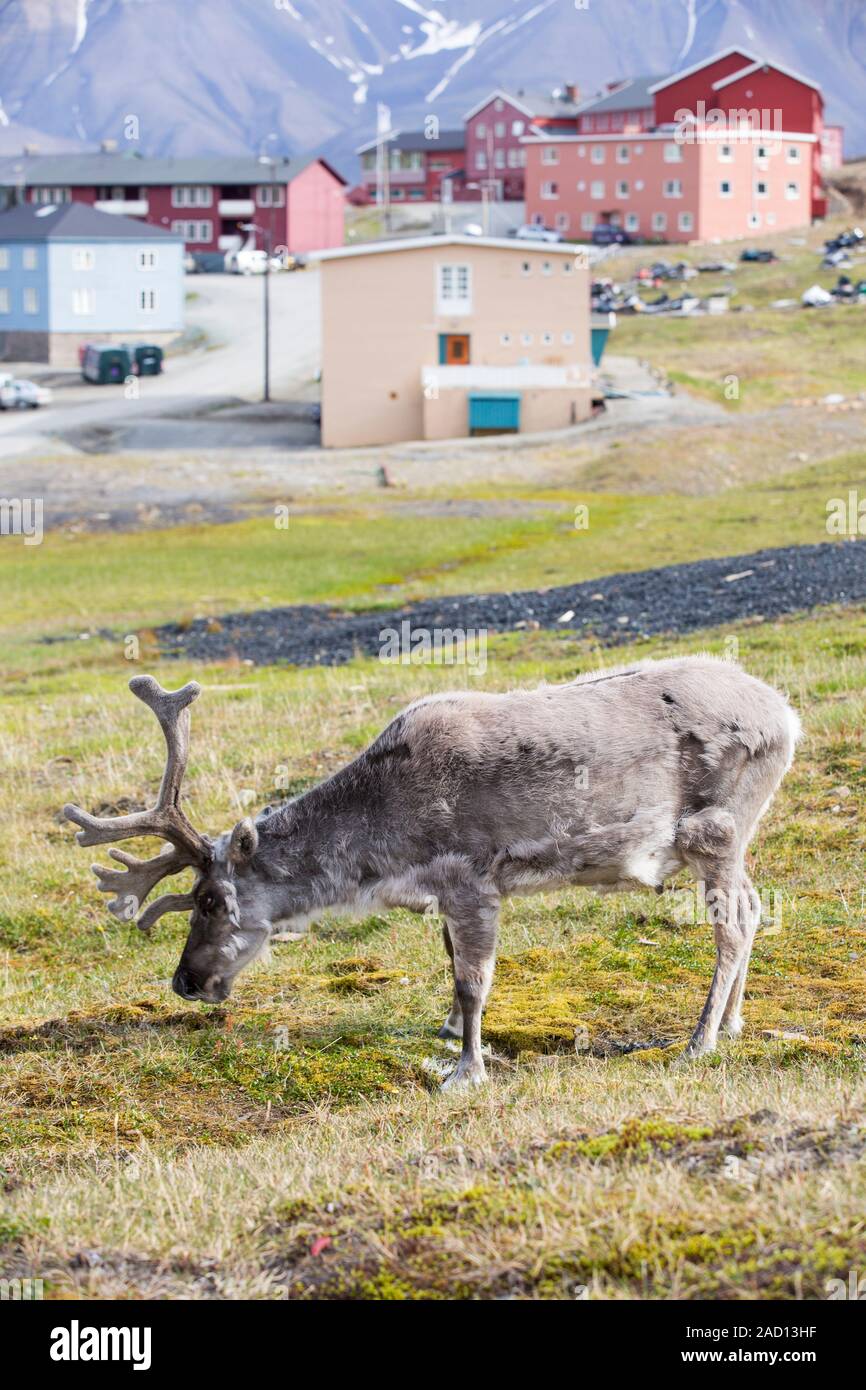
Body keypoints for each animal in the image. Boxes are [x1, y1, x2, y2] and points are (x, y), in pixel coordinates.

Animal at [64, 660, 800, 1089]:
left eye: (213, 899)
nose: (185, 981)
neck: (386, 850)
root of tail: (788, 716)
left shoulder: (472, 878)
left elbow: (475, 980)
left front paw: (465, 1070)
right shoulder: (446, 894)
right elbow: (450, 964)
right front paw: (447, 1032)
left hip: (715, 828)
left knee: (735, 922)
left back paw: (699, 1041)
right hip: (733, 836)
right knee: (757, 908)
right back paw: (733, 1023)